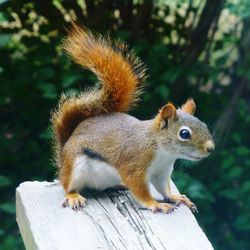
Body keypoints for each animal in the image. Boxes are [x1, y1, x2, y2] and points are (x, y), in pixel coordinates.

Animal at [50, 24, 215, 213]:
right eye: (184, 134)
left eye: (204, 125)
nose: (210, 148)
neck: (161, 150)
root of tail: (62, 158)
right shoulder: (134, 166)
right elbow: (140, 190)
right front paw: (155, 204)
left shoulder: (161, 172)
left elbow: (164, 189)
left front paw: (177, 197)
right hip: (74, 167)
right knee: (67, 186)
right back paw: (74, 196)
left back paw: (119, 186)